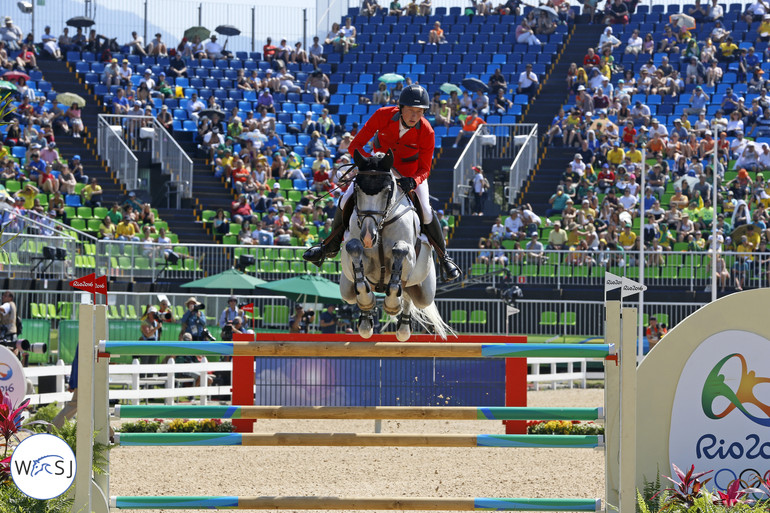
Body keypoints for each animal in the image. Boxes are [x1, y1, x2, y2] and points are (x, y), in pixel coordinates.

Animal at [338, 149, 450, 340]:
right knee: (362, 293)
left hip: (424, 292)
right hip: (346, 288)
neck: (381, 225)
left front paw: (391, 304)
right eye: (357, 189)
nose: (368, 236)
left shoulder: (410, 257)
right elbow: (354, 249)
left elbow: (400, 251)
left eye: (387, 191)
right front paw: (367, 300)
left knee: (407, 293)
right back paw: (366, 319)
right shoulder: (358, 255)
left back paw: (403, 326)